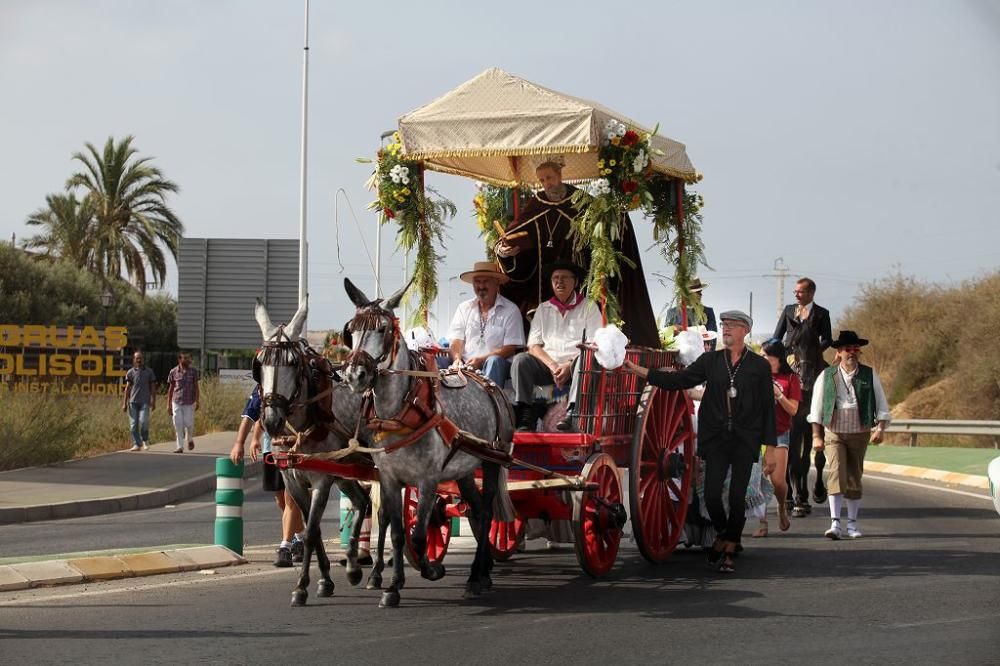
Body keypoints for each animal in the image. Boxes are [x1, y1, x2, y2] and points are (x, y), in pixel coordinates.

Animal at [254, 298, 372, 604]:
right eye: (259, 364)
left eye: (293, 364)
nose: (271, 421)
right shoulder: (293, 480)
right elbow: (313, 528)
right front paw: (324, 580)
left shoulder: (321, 480)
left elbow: (307, 533)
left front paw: (301, 586)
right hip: (345, 470)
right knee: (362, 502)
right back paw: (353, 566)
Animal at [344, 278, 516, 604]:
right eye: (351, 330)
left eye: (383, 329)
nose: (355, 375)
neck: (402, 410)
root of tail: (490, 385)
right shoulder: (389, 478)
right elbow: (398, 531)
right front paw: (392, 586)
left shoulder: (428, 479)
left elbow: (420, 535)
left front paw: (432, 569)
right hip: (464, 469)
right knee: (477, 511)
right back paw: (482, 573)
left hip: (491, 460)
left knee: (487, 511)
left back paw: (475, 576)